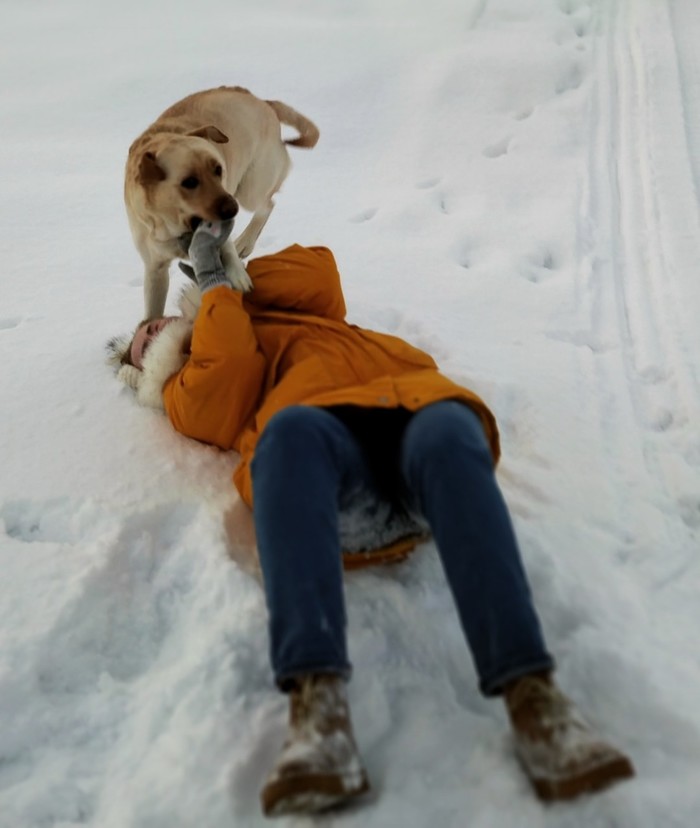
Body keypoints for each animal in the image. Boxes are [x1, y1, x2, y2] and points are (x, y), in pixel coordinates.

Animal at [124, 85, 319, 319]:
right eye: (189, 182)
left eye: (218, 169)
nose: (231, 209)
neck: (173, 228)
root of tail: (262, 101)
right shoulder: (155, 268)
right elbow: (153, 311)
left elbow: (226, 247)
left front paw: (237, 277)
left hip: (250, 190)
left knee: (267, 204)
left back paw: (244, 242)